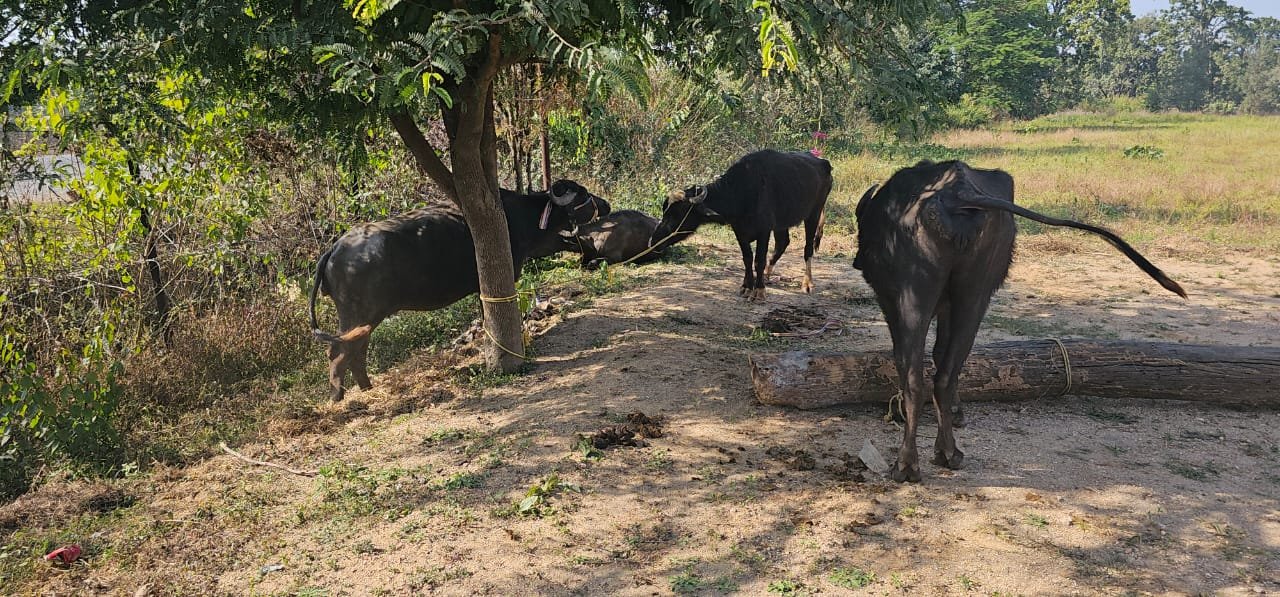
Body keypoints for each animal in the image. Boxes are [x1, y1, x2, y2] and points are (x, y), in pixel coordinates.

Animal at [309, 180, 607, 401]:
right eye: (582, 194)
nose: (605, 204)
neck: (520, 215)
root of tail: (335, 249)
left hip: (364, 321)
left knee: (356, 351)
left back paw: (366, 388)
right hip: (360, 315)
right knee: (338, 353)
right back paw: (338, 398)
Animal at [650, 149, 832, 300]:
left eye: (677, 215)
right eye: (664, 211)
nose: (653, 241)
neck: (743, 192)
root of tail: (824, 163)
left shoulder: (764, 230)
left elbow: (758, 260)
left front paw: (759, 290)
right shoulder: (739, 231)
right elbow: (747, 258)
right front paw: (747, 286)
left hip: (814, 214)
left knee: (807, 248)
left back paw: (807, 283)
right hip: (782, 223)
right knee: (782, 243)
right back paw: (767, 276)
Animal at [853, 160, 1186, 482]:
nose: (857, 261)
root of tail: (955, 193)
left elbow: (934, 355)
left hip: (950, 296)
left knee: (929, 377)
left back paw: (927, 459)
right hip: (948, 296)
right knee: (927, 376)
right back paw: (924, 460)